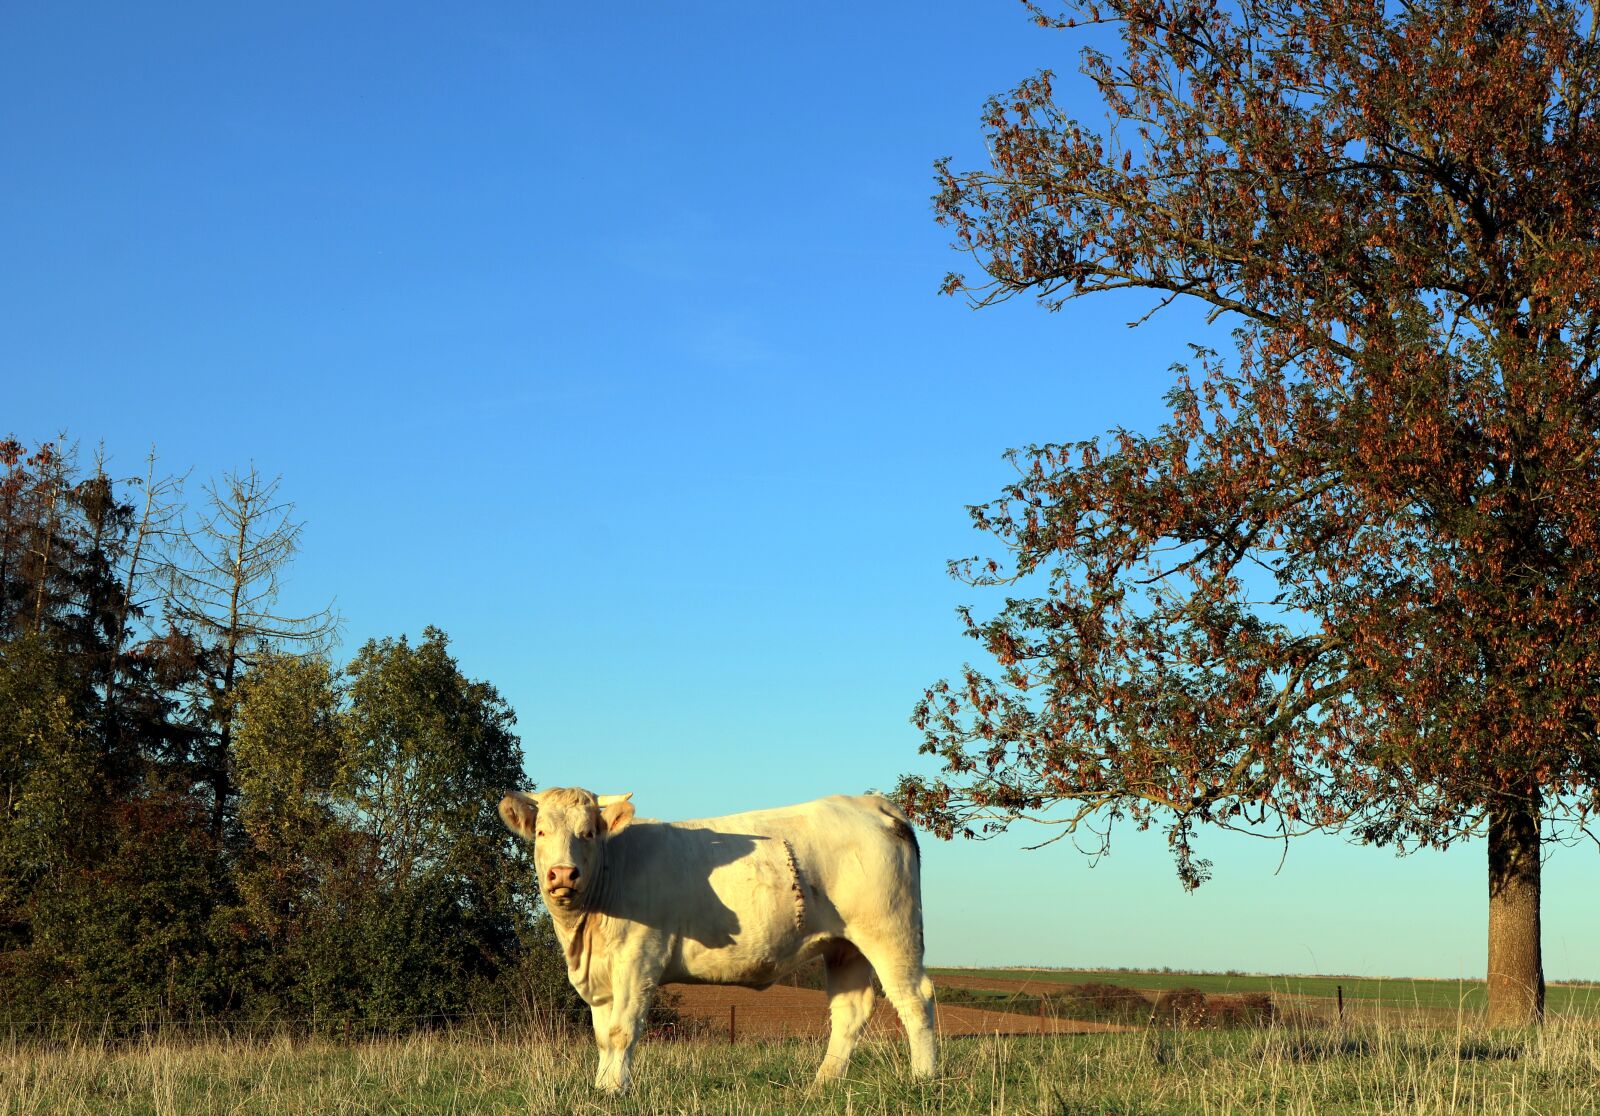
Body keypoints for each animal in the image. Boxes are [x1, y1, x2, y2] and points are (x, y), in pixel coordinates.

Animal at [497, 787, 938, 1092]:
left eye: (588, 833)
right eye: (541, 831)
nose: (562, 873)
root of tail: (869, 803)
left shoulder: (639, 959)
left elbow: (623, 1030)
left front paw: (616, 1090)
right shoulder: (602, 975)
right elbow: (604, 1036)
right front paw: (603, 1088)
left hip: (890, 931)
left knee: (916, 998)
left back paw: (923, 1079)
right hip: (845, 946)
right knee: (851, 1009)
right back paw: (822, 1084)